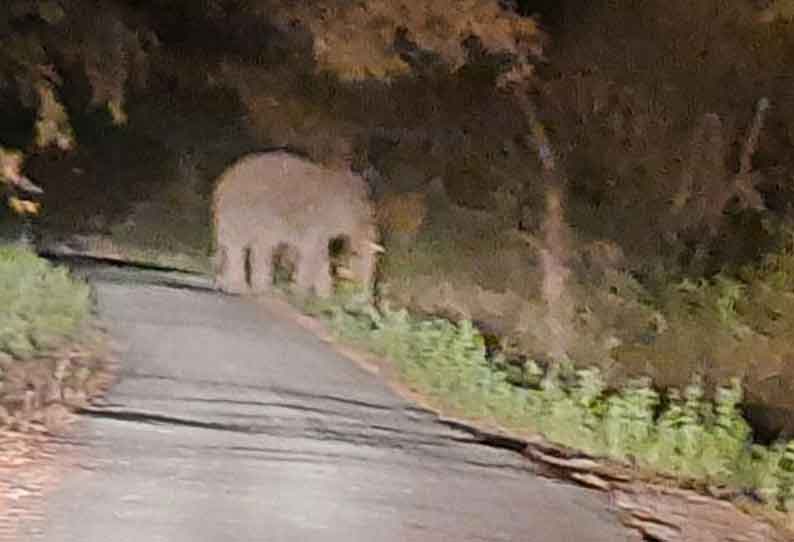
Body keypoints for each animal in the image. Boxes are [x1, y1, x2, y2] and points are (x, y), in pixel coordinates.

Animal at [212, 151, 378, 300]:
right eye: (364, 213)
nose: (358, 296)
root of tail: (222, 184)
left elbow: (318, 255)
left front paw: (325, 298)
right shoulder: (316, 221)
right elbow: (313, 253)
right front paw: (300, 294)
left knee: (244, 247)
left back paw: (234, 285)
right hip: (246, 213)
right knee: (246, 248)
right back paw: (248, 289)